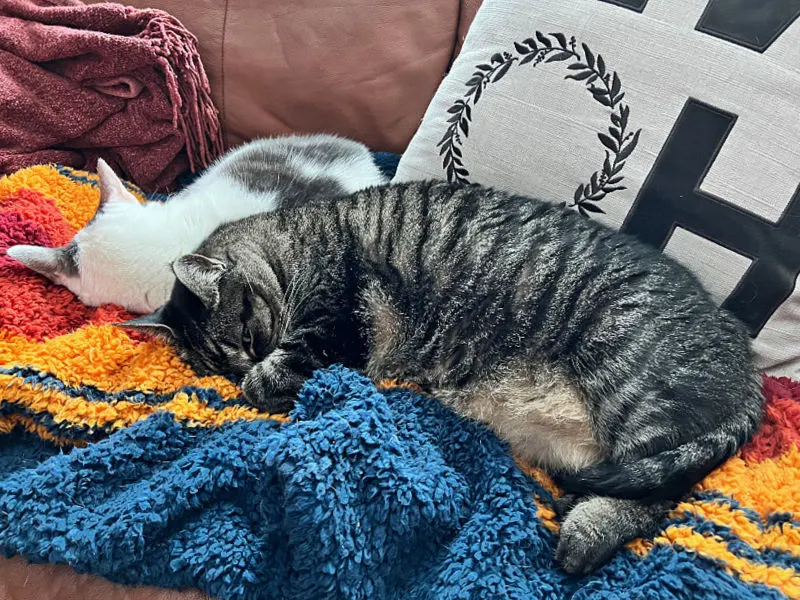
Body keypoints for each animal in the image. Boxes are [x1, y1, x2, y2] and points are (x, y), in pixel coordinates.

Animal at [123, 180, 764, 576]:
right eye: (217, 365)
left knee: (658, 492)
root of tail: (749, 365)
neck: (303, 241)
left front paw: (260, 382)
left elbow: (279, 371)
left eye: (248, 338)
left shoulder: (331, 330)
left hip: (630, 378)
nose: (245, 362)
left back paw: (583, 535)